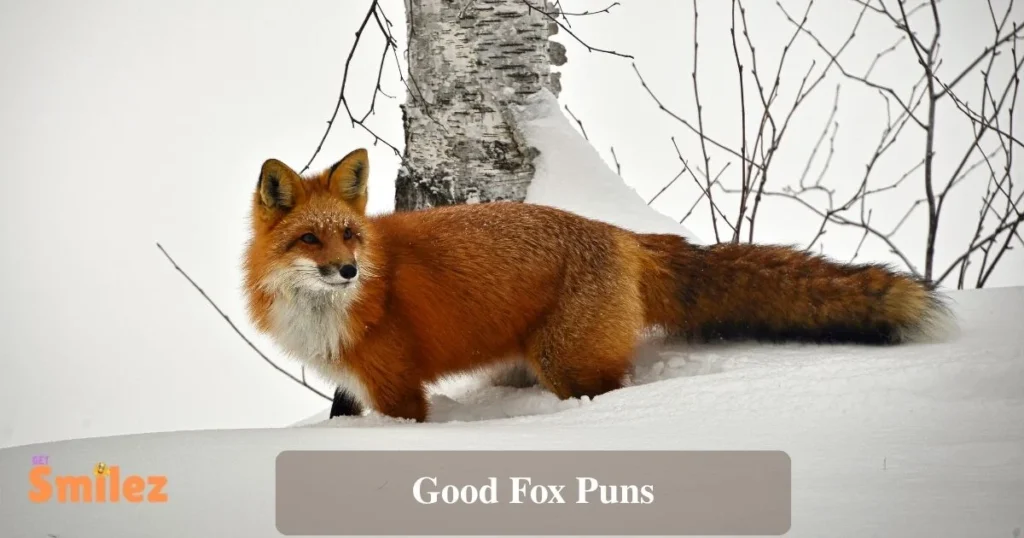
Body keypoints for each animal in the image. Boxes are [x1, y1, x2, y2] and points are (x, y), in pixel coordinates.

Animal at [242, 148, 953, 423]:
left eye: (349, 236)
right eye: (311, 240)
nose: (348, 271)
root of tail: (622, 234)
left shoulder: (397, 390)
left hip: (569, 363)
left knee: (619, 394)